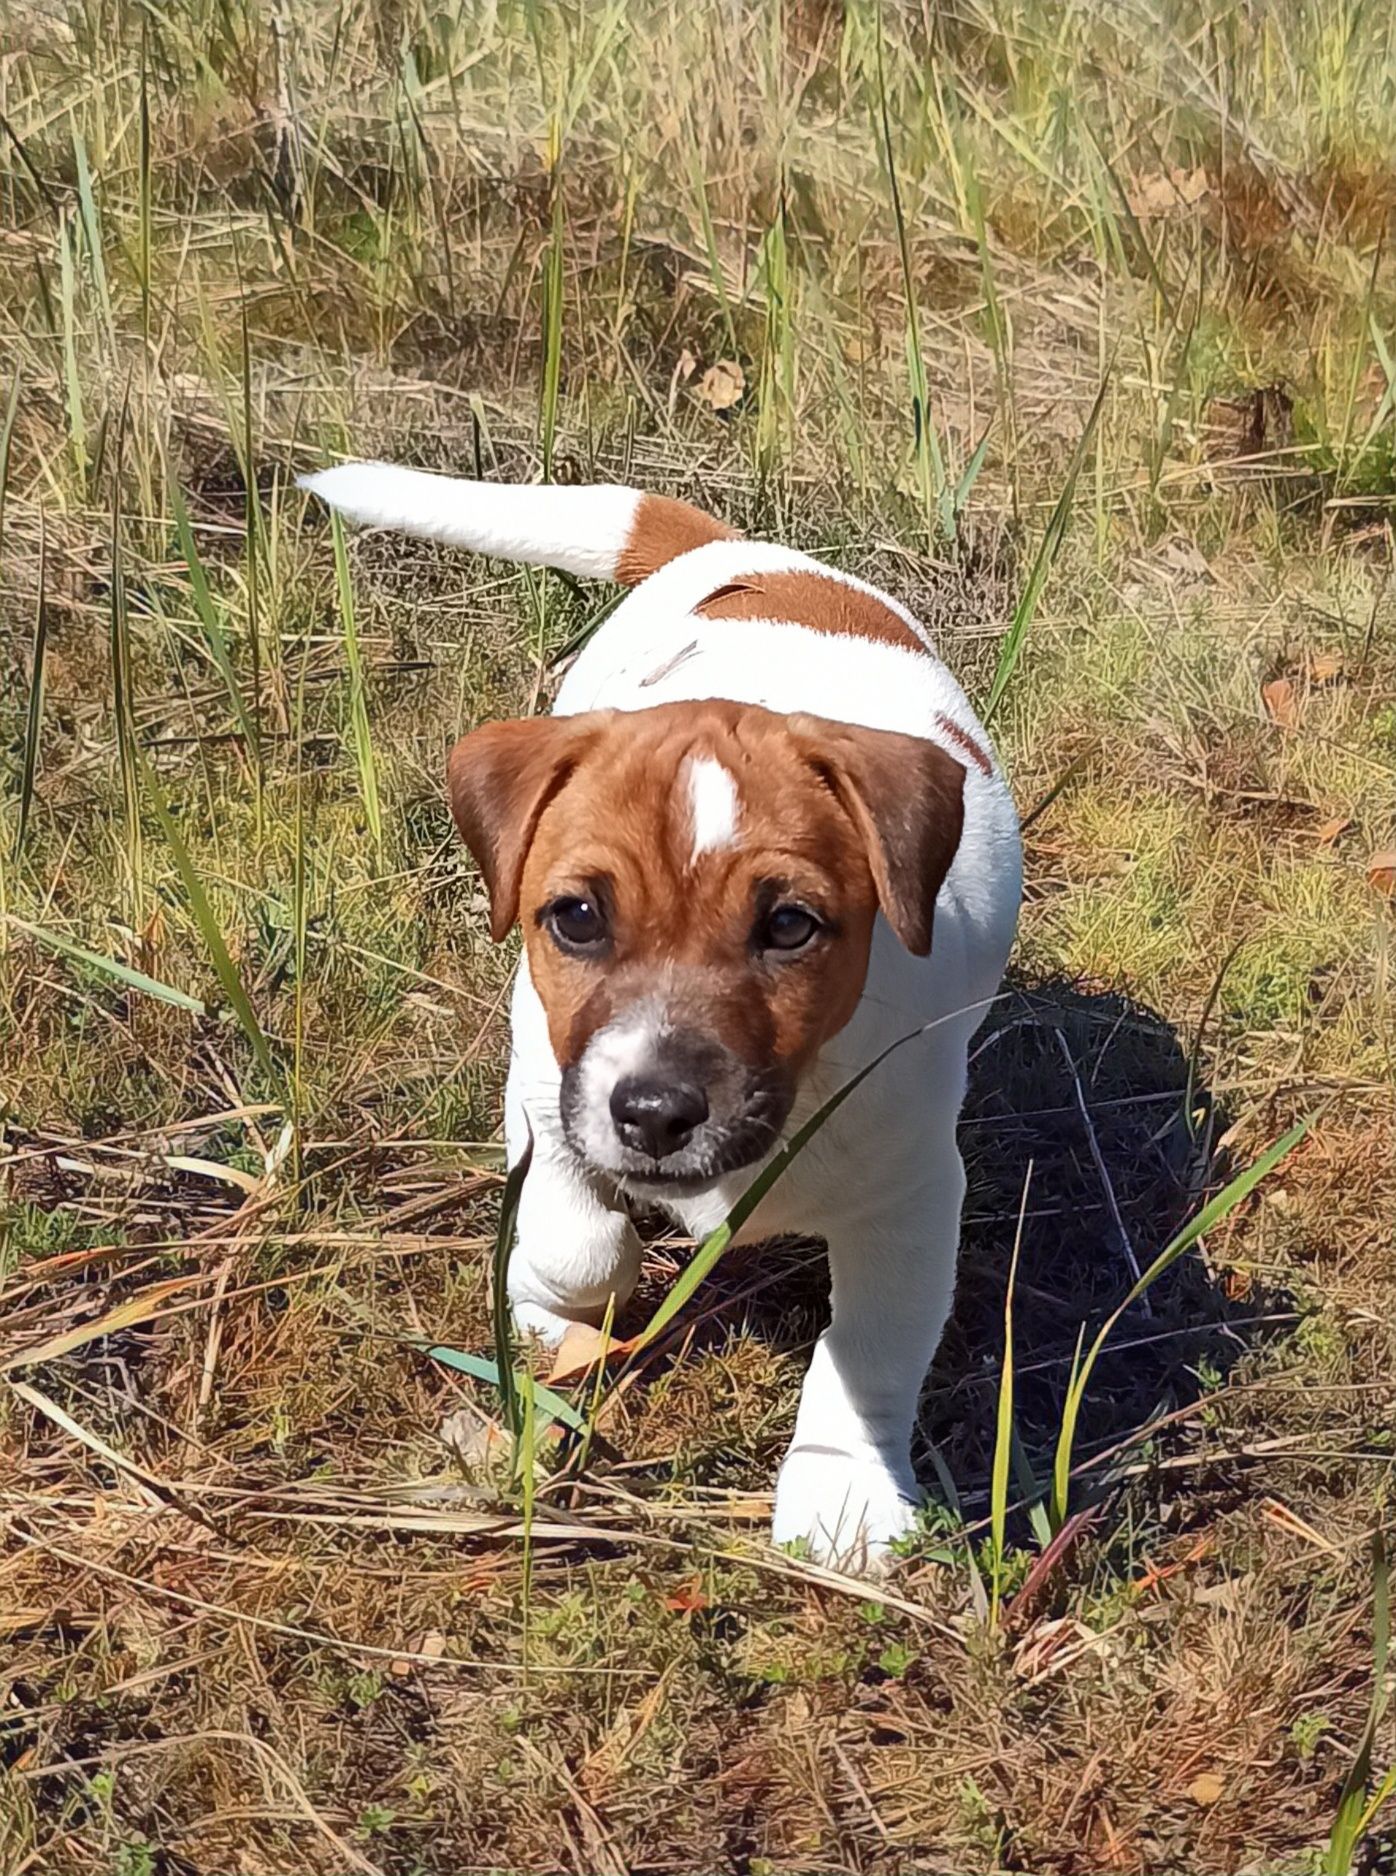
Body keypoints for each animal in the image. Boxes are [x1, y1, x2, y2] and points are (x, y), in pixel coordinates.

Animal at [302, 465, 1028, 1568]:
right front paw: (545, 1312)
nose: (653, 1114)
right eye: (577, 917)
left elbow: (867, 1351)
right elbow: (574, 1238)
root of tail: (742, 550)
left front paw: (842, 1497)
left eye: (790, 926)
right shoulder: (545, 1087)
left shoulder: (911, 1197)